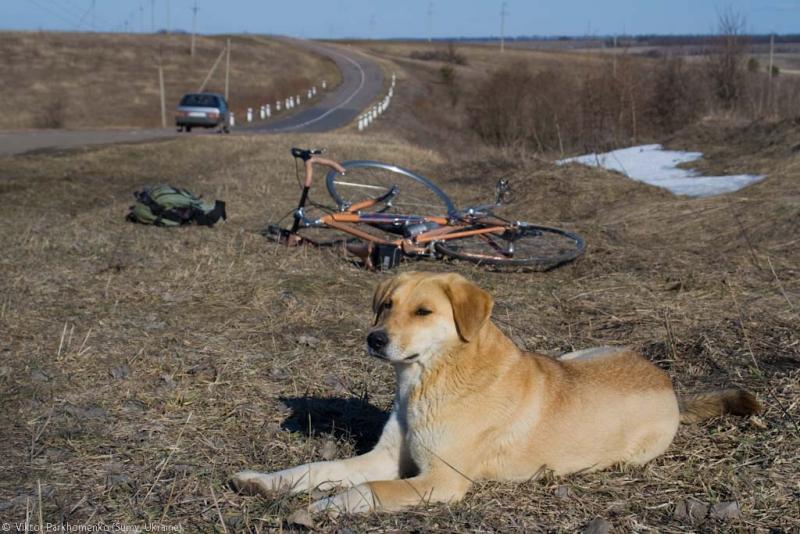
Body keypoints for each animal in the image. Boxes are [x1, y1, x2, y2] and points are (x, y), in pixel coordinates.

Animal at [233, 274, 764, 516]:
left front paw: (319, 509)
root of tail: (669, 384)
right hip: (576, 352)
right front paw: (264, 482)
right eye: (386, 305)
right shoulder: (384, 458)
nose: (373, 339)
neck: (428, 383)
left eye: (423, 311)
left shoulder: (440, 482)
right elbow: (314, 469)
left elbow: (367, 490)